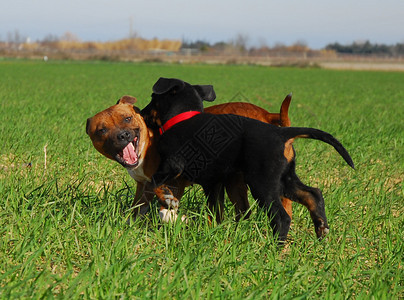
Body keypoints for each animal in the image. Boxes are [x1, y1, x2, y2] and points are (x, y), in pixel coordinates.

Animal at [87, 95, 292, 221]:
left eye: (127, 118)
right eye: (102, 130)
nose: (122, 135)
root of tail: (268, 115)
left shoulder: (174, 181)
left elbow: (165, 202)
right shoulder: (143, 186)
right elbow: (137, 208)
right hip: (235, 182)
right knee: (244, 209)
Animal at [142, 77, 354, 241]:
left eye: (152, 98)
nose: (141, 113)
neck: (184, 117)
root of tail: (281, 132)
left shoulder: (173, 166)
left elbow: (155, 182)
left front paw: (168, 202)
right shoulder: (214, 183)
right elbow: (215, 213)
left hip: (262, 184)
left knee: (281, 216)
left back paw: (275, 247)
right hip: (283, 179)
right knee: (312, 194)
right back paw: (321, 229)